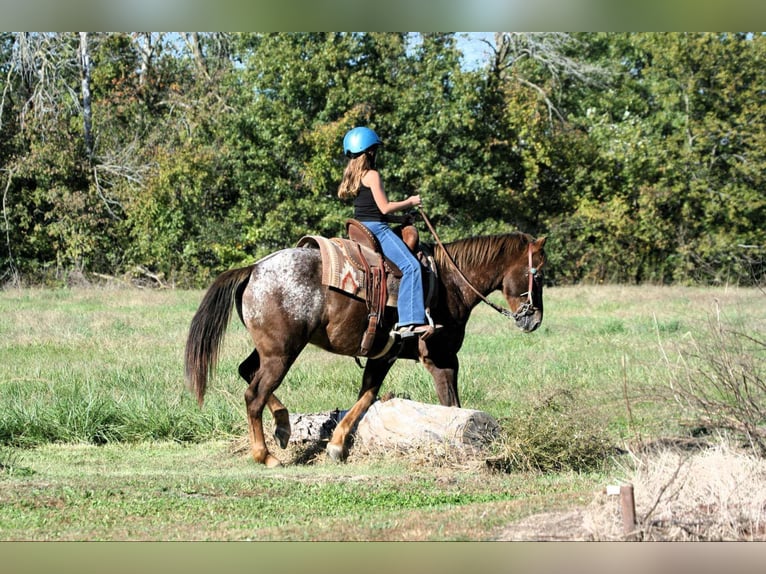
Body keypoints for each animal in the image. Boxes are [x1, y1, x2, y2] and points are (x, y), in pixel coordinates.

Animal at [185, 230, 544, 468]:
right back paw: (266, 455)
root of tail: (255, 269)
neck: (448, 284)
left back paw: (284, 426)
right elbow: (439, 402)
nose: (535, 319)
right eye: (537, 274)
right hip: (282, 354)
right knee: (254, 395)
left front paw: (336, 443)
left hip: (269, 350)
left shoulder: (387, 355)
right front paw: (337, 446)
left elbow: (369, 395)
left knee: (246, 371)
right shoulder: (440, 358)